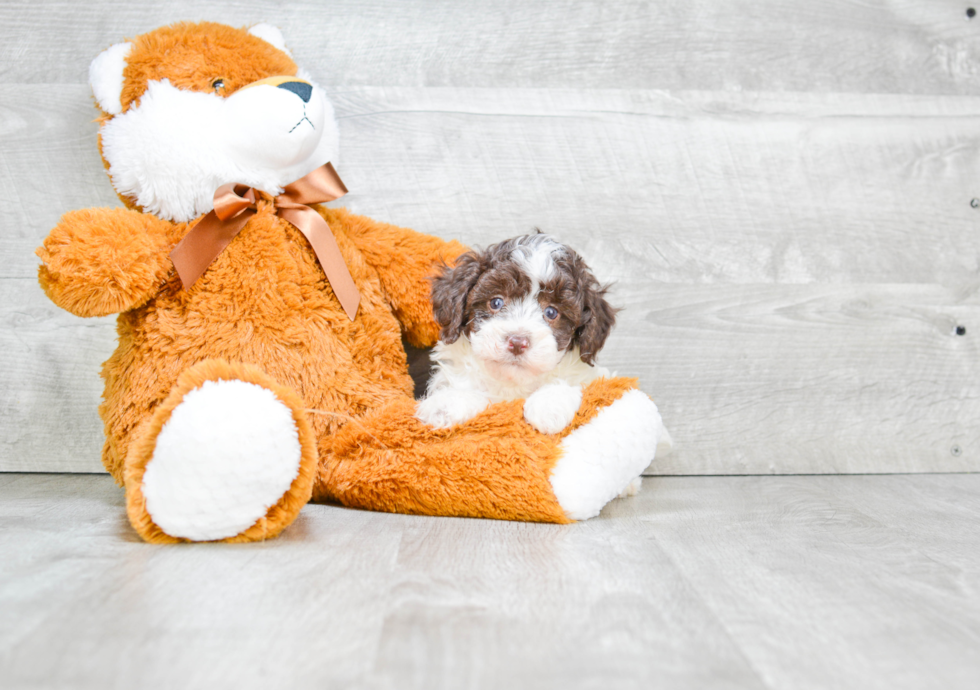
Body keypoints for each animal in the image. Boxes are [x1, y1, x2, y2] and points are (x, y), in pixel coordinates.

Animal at [416, 234, 616, 432]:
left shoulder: (592, 378)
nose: (518, 343)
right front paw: (445, 404)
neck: (512, 383)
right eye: (496, 302)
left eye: (551, 312)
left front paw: (549, 405)